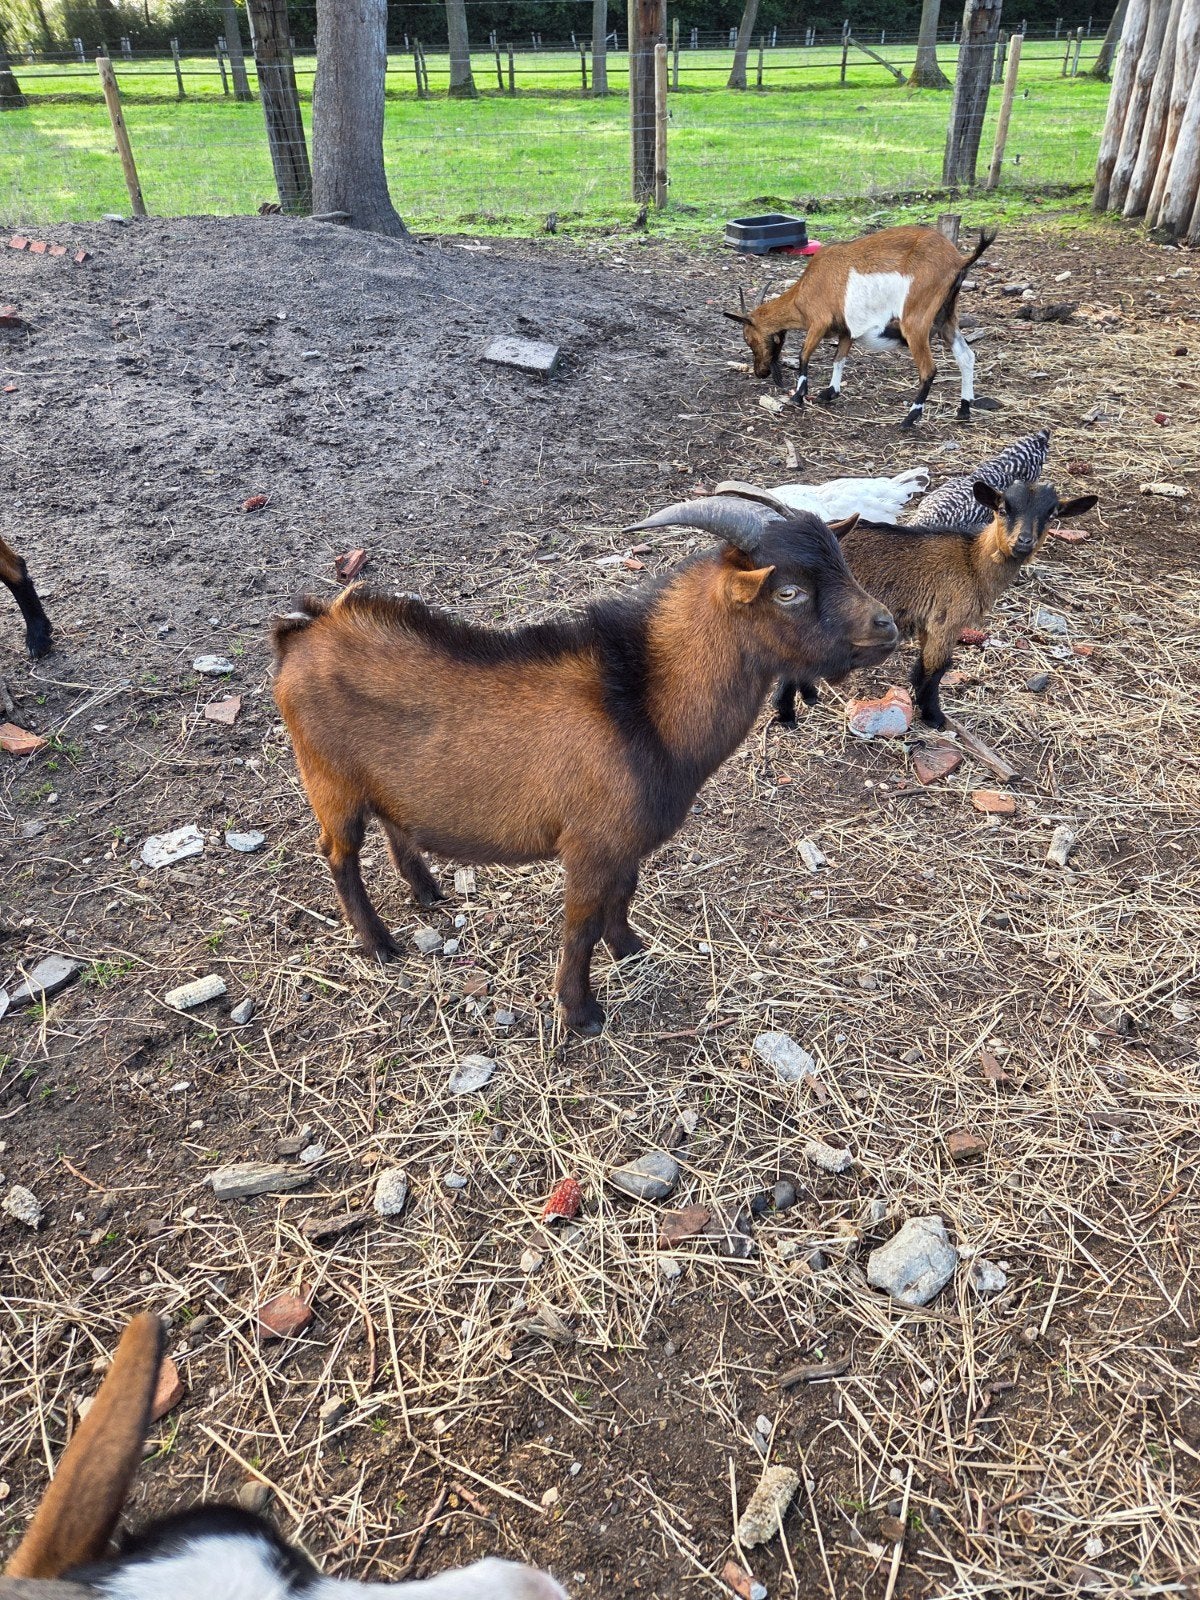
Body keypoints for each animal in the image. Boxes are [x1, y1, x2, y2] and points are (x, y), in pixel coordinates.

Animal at [272, 506, 897, 1034]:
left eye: (842, 563)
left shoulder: (626, 840)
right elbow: (581, 923)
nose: (887, 625)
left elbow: (624, 893)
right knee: (338, 855)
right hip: (329, 781)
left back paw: (427, 892)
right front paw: (579, 1011)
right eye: (789, 592)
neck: (642, 705)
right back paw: (377, 943)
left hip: (383, 782)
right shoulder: (590, 843)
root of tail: (303, 634)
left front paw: (631, 948)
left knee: (395, 822)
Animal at [725, 224, 996, 428]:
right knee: (966, 356)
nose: (760, 372)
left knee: (929, 369)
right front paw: (830, 392)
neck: (804, 291)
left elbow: (804, 355)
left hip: (916, 320)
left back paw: (910, 418)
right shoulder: (846, 330)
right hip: (945, 318)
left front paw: (798, 396)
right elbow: (839, 358)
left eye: (748, 338)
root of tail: (958, 260)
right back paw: (964, 409)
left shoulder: (819, 322)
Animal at [764, 479, 1098, 729]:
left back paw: (802, 701)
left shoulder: (930, 623)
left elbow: (923, 668)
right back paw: (788, 713)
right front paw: (934, 717)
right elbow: (937, 669)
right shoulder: (946, 620)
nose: (1023, 542)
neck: (972, 562)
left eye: (1052, 515)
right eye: (1003, 509)